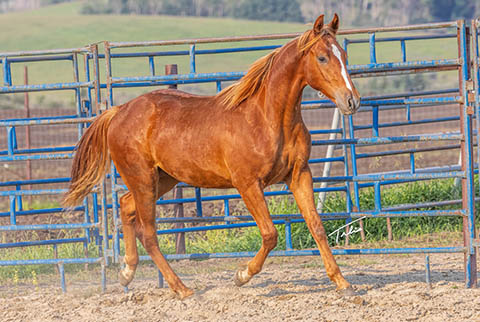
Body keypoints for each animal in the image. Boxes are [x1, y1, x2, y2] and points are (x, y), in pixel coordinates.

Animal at [63, 13, 358, 298]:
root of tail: (118, 111)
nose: (352, 101)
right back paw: (182, 289)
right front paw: (241, 275)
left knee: (125, 205)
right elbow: (270, 234)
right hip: (142, 179)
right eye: (322, 57)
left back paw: (127, 272)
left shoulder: (299, 175)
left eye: (344, 55)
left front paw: (343, 283)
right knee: (148, 234)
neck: (267, 118)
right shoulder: (247, 183)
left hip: (162, 179)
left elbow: (317, 226)